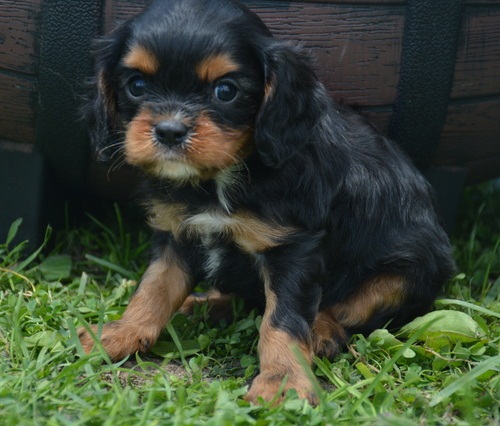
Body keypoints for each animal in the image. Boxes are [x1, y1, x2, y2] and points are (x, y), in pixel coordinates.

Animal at [77, 0, 454, 404]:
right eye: (136, 85)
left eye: (226, 91)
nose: (169, 131)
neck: (217, 181)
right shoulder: (177, 232)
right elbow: (153, 288)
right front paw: (120, 333)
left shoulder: (293, 247)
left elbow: (283, 320)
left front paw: (283, 380)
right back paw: (206, 305)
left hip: (406, 271)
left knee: (348, 309)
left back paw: (322, 331)